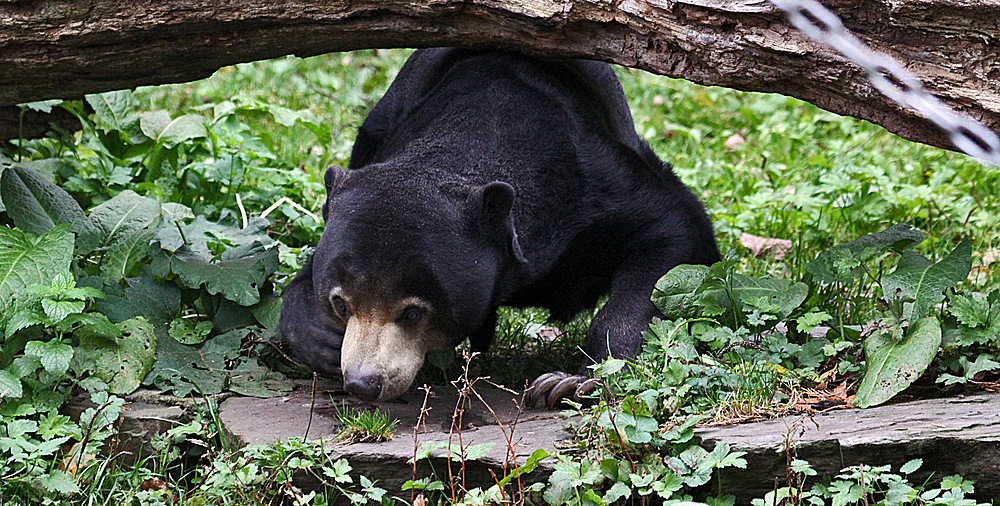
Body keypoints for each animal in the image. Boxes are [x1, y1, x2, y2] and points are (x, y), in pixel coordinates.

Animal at [282, 48, 720, 408]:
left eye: (413, 312)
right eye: (341, 302)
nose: (363, 383)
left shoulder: (593, 184)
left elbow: (674, 229)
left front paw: (568, 383)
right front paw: (322, 338)